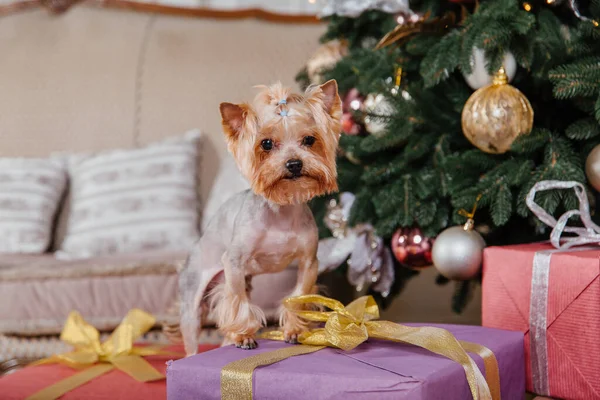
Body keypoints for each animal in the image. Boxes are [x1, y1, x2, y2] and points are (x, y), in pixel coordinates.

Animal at [178, 79, 340, 354]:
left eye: (309, 139)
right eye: (266, 144)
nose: (294, 164)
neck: (281, 210)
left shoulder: (309, 263)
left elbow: (298, 296)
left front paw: (294, 330)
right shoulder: (233, 263)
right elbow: (238, 302)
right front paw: (243, 336)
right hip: (193, 303)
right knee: (192, 342)